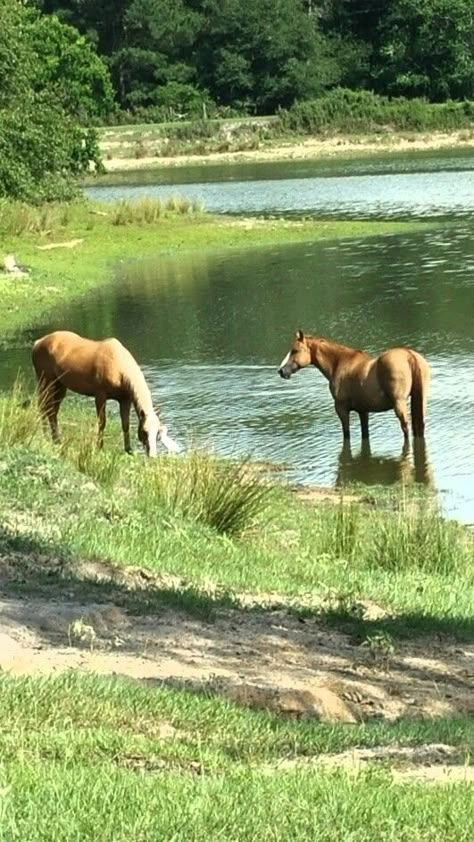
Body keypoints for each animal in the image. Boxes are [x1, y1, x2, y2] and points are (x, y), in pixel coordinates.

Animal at [32, 330, 180, 460]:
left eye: (158, 433)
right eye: (144, 431)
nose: (152, 456)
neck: (118, 366)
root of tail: (38, 343)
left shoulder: (125, 400)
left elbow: (125, 424)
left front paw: (129, 450)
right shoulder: (100, 396)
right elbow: (102, 422)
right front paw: (99, 447)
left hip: (60, 386)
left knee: (52, 411)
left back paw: (57, 439)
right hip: (45, 382)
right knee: (43, 407)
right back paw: (46, 436)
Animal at [278, 330, 430, 442]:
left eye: (295, 351)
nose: (281, 371)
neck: (338, 363)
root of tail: (409, 355)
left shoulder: (341, 409)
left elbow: (347, 434)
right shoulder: (363, 411)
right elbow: (365, 434)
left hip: (399, 404)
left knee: (406, 428)